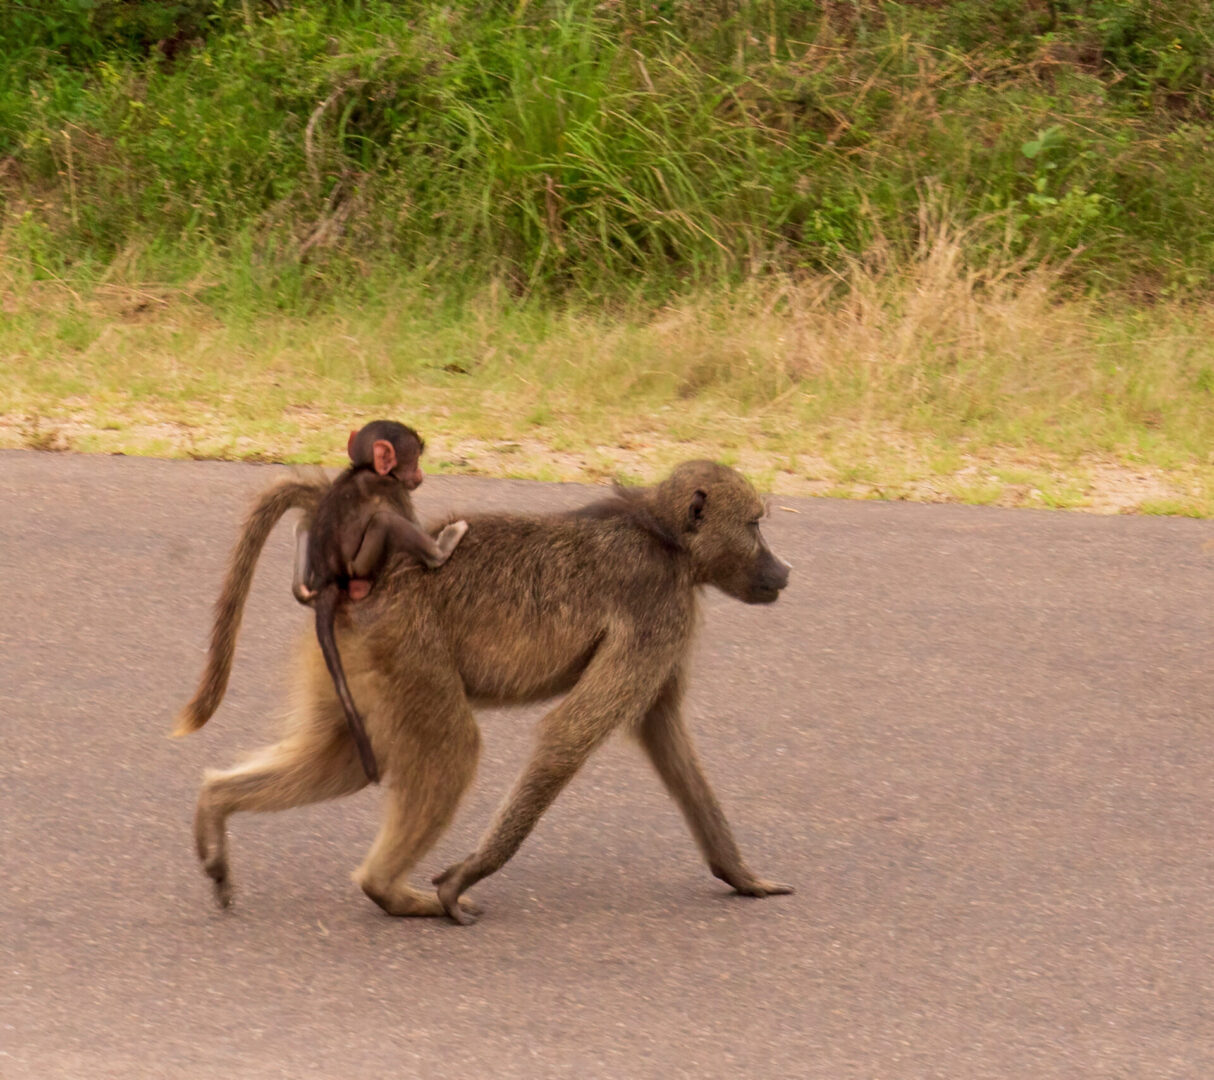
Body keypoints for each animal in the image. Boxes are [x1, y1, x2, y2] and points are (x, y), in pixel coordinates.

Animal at [176, 460, 793, 922]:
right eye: (756, 525)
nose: (784, 572)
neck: (664, 536)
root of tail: (367, 573)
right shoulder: (658, 609)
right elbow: (568, 736)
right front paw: (467, 875)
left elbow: (665, 736)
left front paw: (741, 877)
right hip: (406, 648)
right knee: (452, 749)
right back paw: (393, 891)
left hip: (357, 661)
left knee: (348, 760)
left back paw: (216, 807)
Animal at [291, 420, 468, 784]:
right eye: (414, 461)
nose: (421, 474)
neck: (366, 469)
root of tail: (329, 579)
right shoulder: (394, 490)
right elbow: (406, 521)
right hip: (363, 565)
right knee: (385, 522)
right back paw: (440, 552)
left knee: (304, 528)